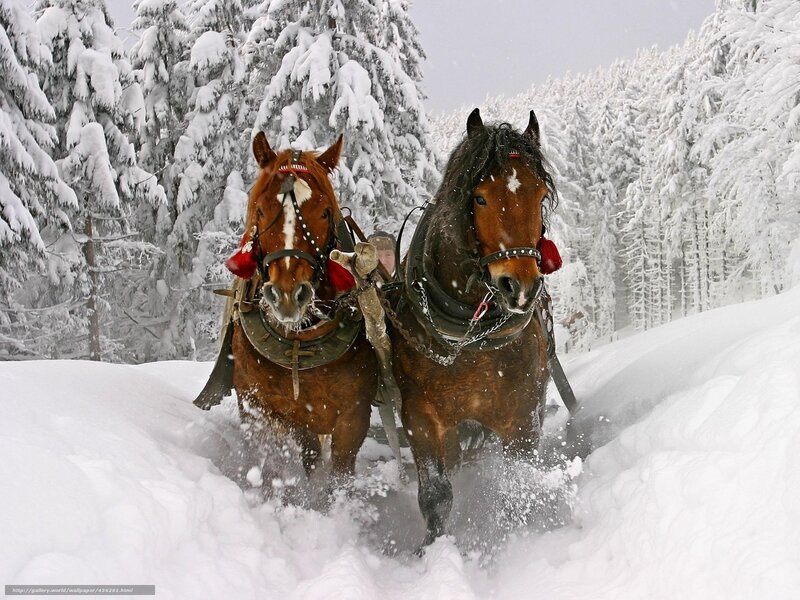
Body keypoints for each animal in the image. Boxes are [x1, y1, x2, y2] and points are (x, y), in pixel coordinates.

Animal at [198, 132, 380, 496]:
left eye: (325, 213)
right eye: (260, 208)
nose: (287, 295)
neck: (300, 341)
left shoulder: (353, 416)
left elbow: (340, 474)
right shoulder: (260, 408)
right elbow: (272, 466)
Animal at [387, 108, 558, 547]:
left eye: (540, 196)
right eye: (479, 197)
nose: (520, 287)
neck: (471, 338)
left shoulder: (522, 416)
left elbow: (518, 484)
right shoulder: (421, 417)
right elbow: (436, 495)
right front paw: (432, 551)